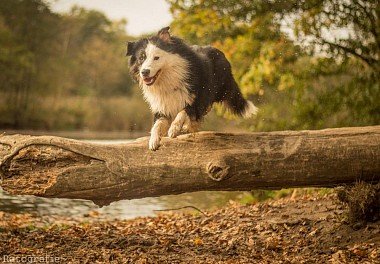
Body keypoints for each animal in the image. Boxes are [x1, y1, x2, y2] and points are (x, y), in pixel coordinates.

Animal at [126, 27, 256, 151]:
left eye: (156, 58)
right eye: (141, 58)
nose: (144, 72)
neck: (169, 80)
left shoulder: (195, 98)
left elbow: (183, 112)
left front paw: (173, 129)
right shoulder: (162, 105)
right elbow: (157, 124)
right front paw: (153, 141)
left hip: (221, 90)